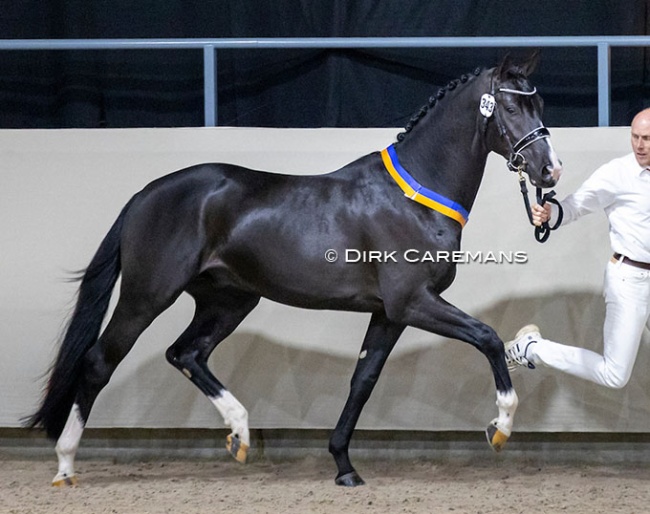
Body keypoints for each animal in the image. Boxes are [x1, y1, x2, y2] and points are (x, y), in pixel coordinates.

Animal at [26, 53, 562, 487]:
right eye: (511, 108)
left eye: (540, 106)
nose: (549, 171)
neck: (414, 196)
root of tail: (143, 196)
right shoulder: (414, 302)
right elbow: (488, 337)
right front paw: (500, 427)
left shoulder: (390, 313)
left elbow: (363, 380)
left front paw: (344, 467)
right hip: (147, 295)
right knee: (100, 361)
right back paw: (66, 465)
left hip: (229, 299)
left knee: (187, 353)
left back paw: (240, 434)